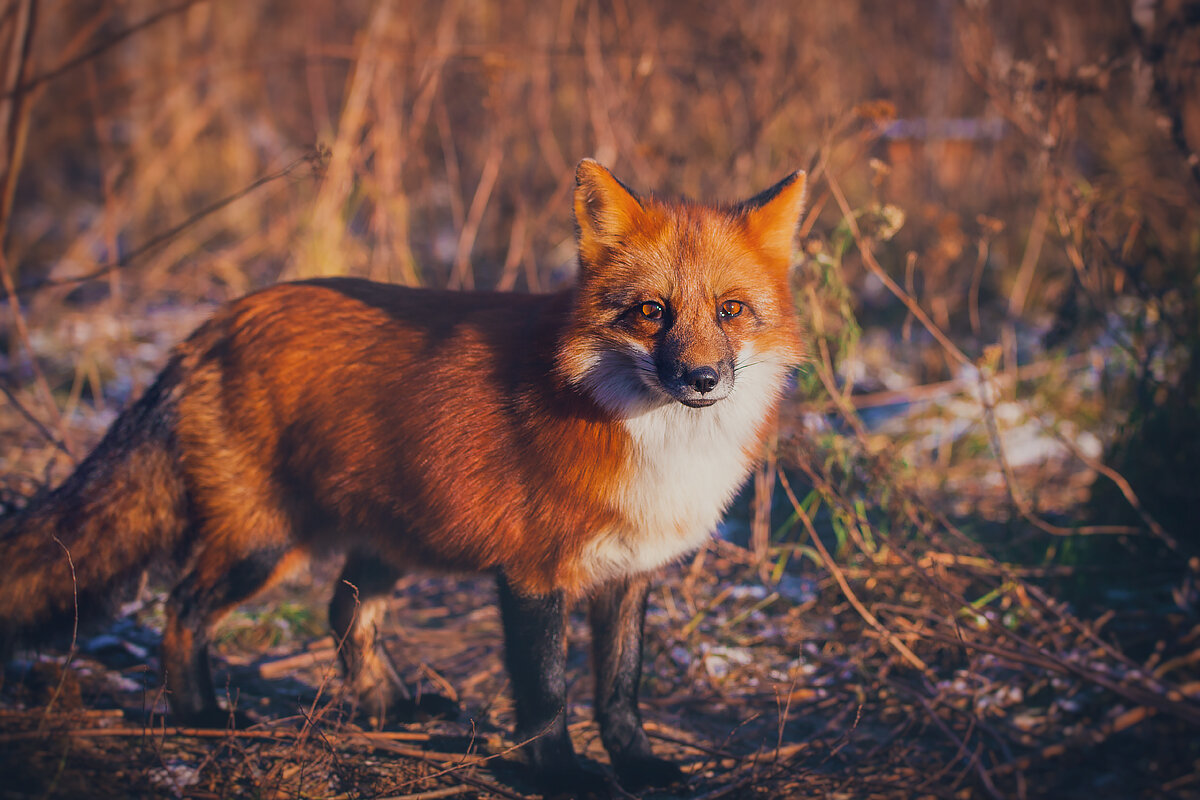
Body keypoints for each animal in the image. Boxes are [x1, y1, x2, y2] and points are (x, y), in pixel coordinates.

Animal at [2, 163, 806, 796]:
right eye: (651, 311)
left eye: (731, 310)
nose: (701, 379)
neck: (638, 432)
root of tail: (211, 324)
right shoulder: (533, 573)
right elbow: (548, 691)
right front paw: (561, 776)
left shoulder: (631, 572)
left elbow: (620, 689)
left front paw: (637, 765)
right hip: (265, 543)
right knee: (183, 609)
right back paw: (203, 718)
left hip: (393, 535)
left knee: (343, 610)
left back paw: (387, 710)